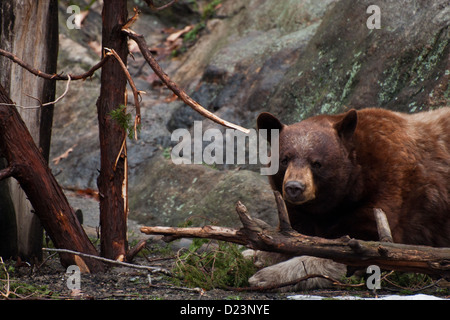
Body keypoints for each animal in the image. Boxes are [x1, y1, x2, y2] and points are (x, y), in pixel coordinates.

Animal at [248, 107, 450, 290]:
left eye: (317, 163)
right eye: (284, 159)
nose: (294, 187)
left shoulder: (389, 189)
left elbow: (355, 250)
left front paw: (267, 275)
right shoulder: (299, 213)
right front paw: (255, 253)